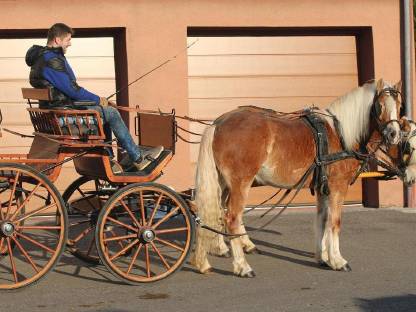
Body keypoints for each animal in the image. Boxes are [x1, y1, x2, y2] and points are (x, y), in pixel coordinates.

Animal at [193, 79, 404, 276]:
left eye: (400, 105)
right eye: (380, 106)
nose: (394, 134)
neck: (340, 134)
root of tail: (219, 123)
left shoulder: (322, 188)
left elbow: (322, 220)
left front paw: (323, 257)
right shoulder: (338, 186)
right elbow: (334, 223)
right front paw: (337, 260)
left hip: (222, 184)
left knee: (210, 212)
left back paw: (205, 262)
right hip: (240, 183)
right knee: (232, 219)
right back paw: (242, 266)